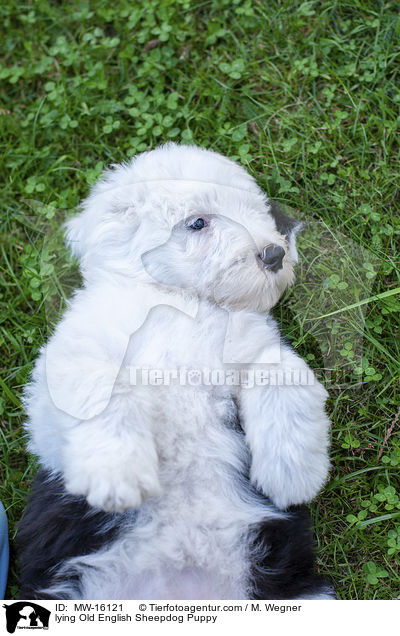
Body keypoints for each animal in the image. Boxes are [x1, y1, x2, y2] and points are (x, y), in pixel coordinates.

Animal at [16, 142, 334, 600]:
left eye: (257, 210)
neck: (180, 300)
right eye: (197, 222)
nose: (275, 254)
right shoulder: (70, 366)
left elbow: (283, 377)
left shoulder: (254, 349)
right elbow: (109, 389)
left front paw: (293, 473)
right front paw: (118, 474)